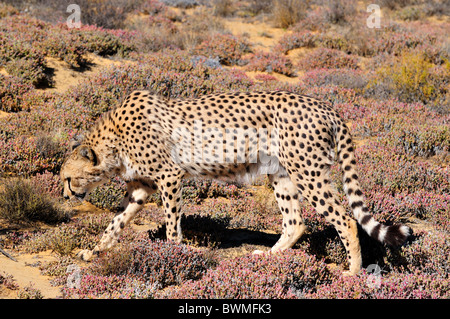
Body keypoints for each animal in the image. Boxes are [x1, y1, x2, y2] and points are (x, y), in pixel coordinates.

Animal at [60, 89, 412, 276]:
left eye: (67, 179)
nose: (65, 196)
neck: (113, 141)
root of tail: (325, 105)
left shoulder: (170, 177)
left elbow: (172, 224)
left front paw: (173, 253)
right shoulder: (141, 188)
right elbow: (115, 223)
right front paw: (94, 251)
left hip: (308, 172)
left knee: (345, 219)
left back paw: (352, 272)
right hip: (281, 174)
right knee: (295, 222)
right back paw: (269, 258)